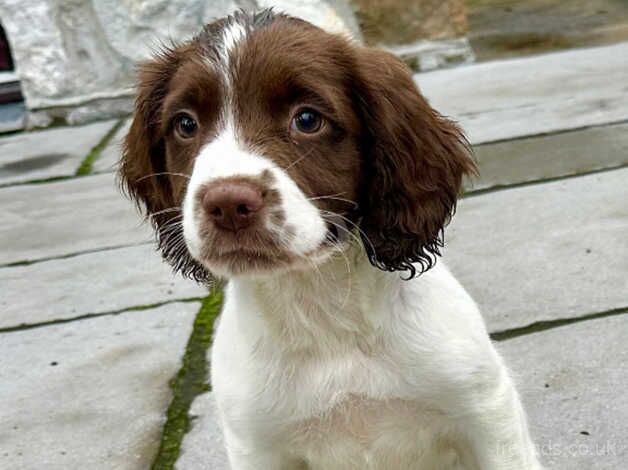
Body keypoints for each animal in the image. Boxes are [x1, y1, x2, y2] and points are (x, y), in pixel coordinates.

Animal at [120, 10, 544, 470]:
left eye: (307, 119)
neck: (322, 309)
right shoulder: (255, 445)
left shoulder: (485, 412)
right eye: (185, 124)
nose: (227, 203)